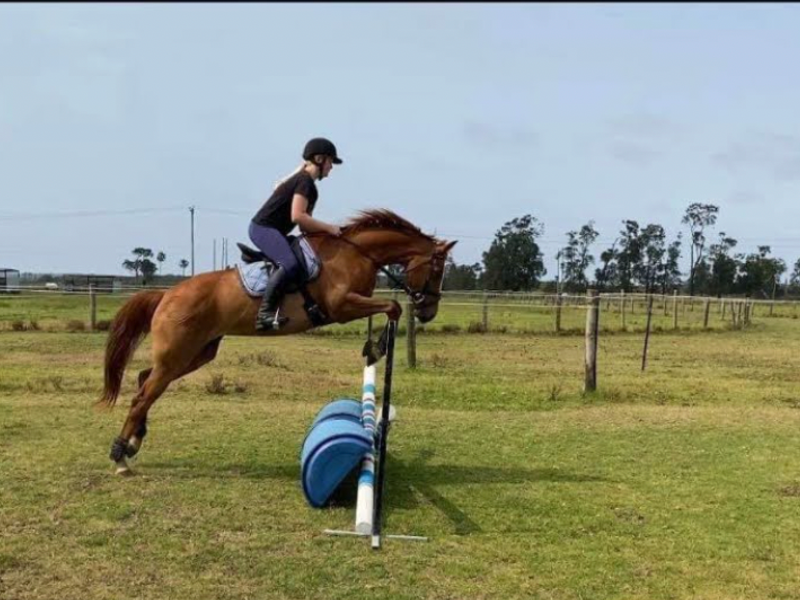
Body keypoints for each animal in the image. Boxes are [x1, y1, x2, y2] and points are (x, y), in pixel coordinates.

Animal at [96, 209, 457, 475]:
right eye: (437, 269)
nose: (429, 312)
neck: (357, 254)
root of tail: (167, 294)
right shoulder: (341, 306)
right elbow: (393, 306)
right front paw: (377, 348)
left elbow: (390, 308)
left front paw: (374, 348)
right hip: (179, 352)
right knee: (142, 396)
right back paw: (120, 456)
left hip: (197, 353)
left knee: (145, 379)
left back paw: (134, 443)